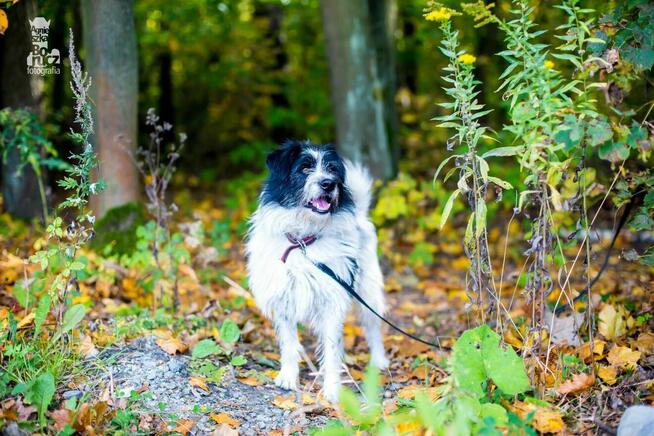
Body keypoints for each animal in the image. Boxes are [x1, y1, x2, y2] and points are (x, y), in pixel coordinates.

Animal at [246, 140, 390, 402]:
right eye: (304, 167)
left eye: (332, 169)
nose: (328, 184)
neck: (303, 241)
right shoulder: (284, 299)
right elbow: (289, 343)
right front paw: (288, 377)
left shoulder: (332, 299)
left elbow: (332, 349)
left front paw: (332, 389)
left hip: (368, 291)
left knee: (372, 326)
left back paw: (378, 361)